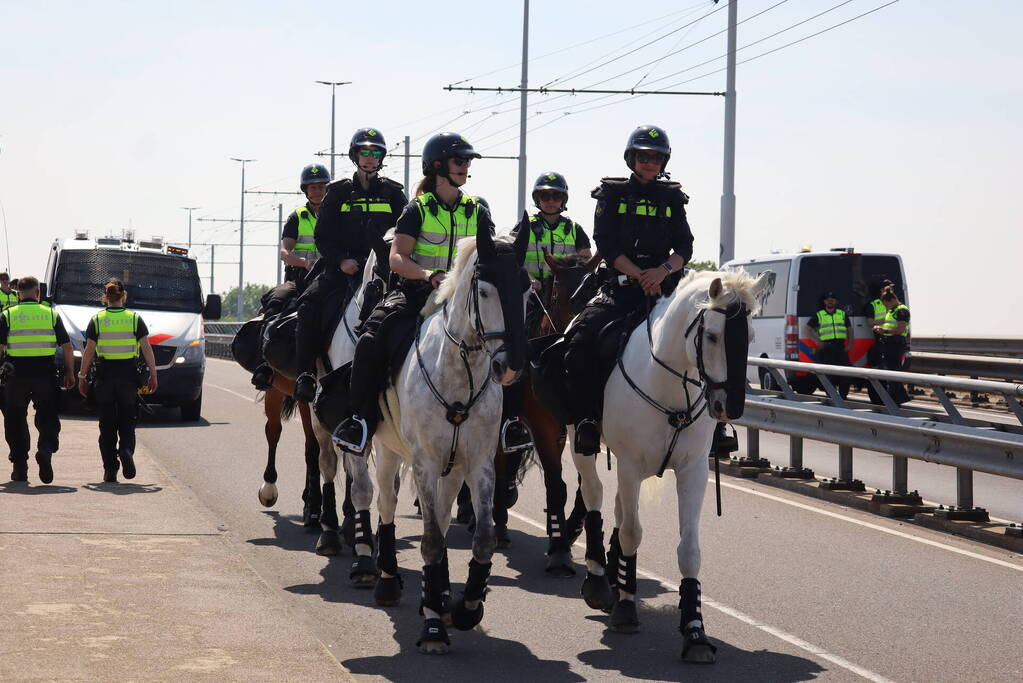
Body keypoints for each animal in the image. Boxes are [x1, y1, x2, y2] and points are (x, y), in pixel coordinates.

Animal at [370, 226, 531, 654]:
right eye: (486, 291)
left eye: (527, 289)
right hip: (387, 452)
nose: (511, 367)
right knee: (387, 504)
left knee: (441, 519)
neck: (459, 375)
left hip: (453, 469)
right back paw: (388, 582)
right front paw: (433, 630)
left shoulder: (478, 464)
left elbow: (483, 539)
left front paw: (465, 608)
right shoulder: (424, 463)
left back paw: (439, 598)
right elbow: (428, 541)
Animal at [597, 269, 765, 662]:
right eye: (713, 335)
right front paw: (626, 608)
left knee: (617, 508)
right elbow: (632, 532)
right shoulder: (629, 466)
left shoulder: (693, 471)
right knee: (590, 496)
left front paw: (694, 630)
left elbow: (689, 550)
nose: (730, 406)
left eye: (749, 337)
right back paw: (597, 580)